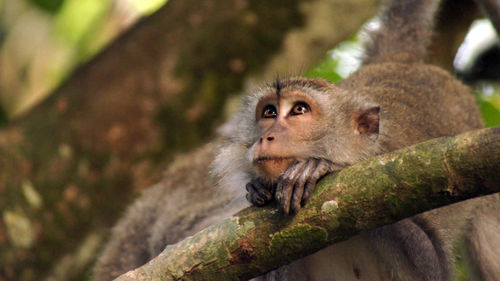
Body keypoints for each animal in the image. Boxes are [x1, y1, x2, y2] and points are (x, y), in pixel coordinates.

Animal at [93, 0, 500, 278]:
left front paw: (317, 168)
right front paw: (259, 189)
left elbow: (430, 263)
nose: (268, 136)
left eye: (299, 111)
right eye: (269, 113)